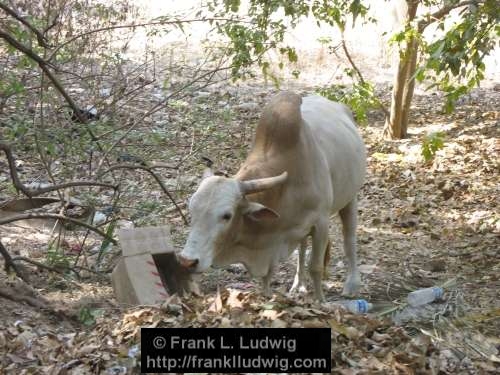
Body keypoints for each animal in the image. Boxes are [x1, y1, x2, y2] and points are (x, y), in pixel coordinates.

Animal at [178, 92, 366, 302]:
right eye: (191, 211)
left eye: (227, 216)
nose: (187, 261)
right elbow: (268, 274)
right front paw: (266, 297)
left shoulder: (321, 223)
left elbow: (316, 267)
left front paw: (320, 302)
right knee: (302, 247)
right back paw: (298, 284)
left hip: (351, 197)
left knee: (349, 239)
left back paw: (352, 284)